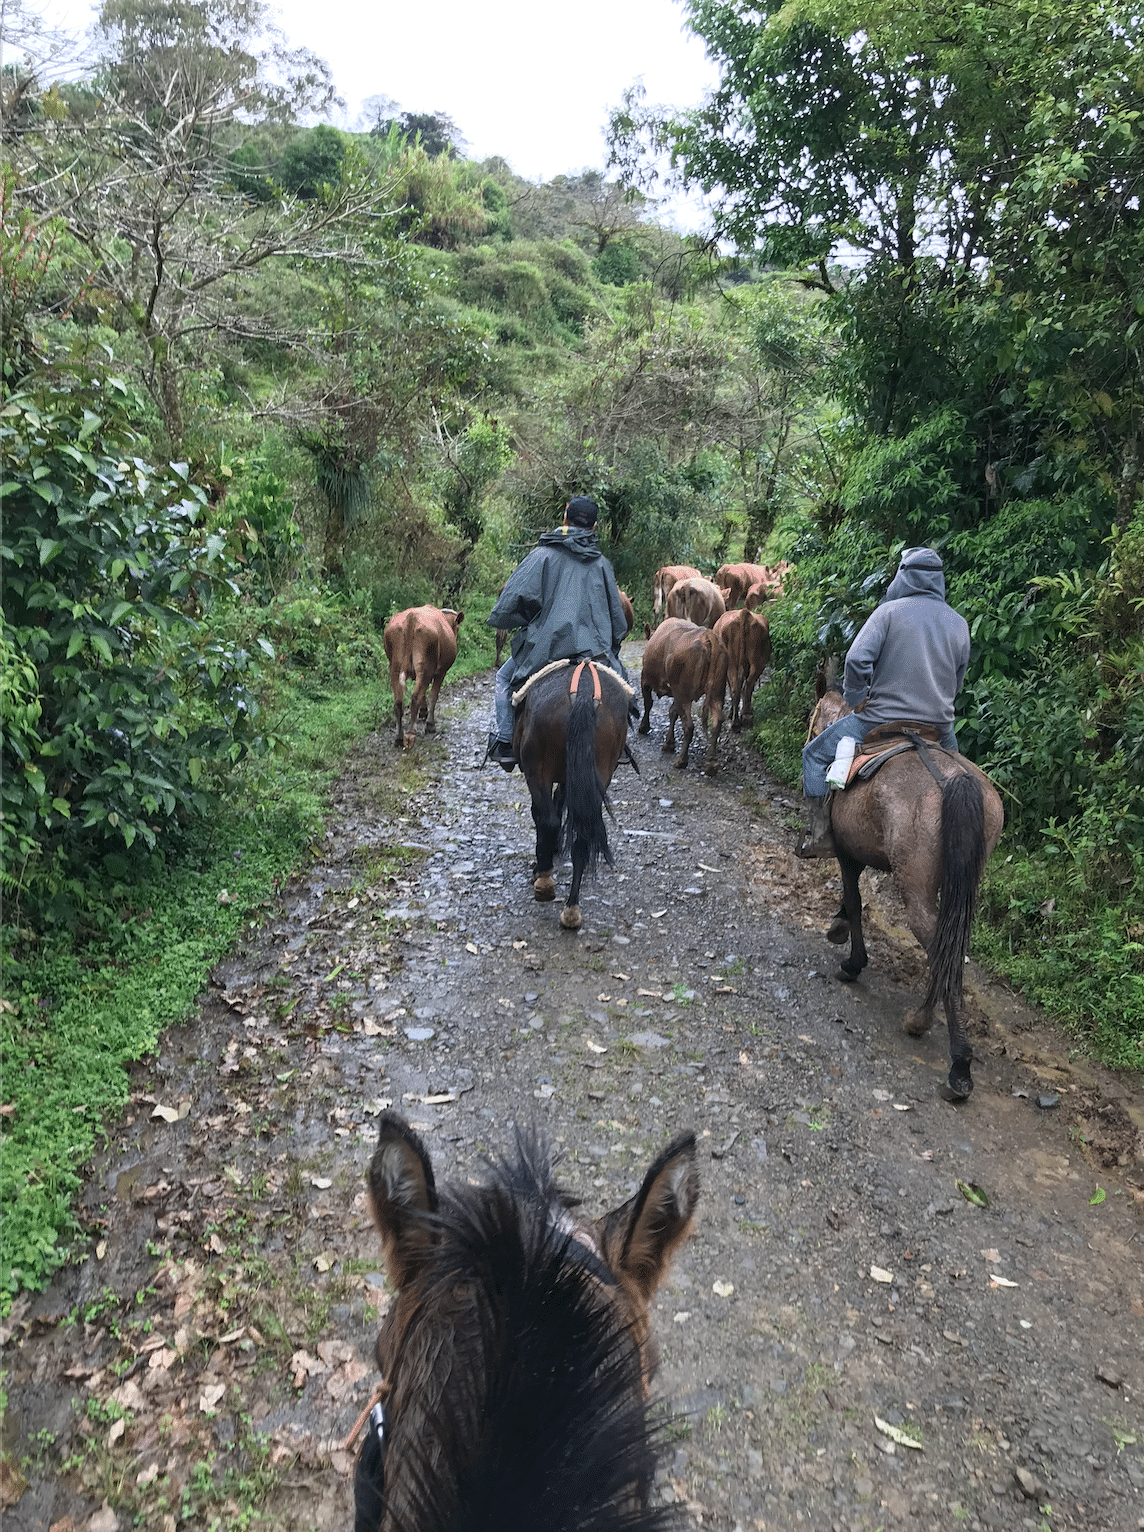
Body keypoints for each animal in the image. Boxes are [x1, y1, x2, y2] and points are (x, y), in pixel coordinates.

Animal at [379, 600, 459, 744]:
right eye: (457, 628)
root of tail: (411, 618)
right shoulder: (441, 672)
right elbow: (432, 696)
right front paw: (430, 724)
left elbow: (424, 694)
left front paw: (423, 712)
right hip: (426, 667)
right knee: (415, 697)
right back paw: (410, 733)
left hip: (395, 668)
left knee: (398, 702)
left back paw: (399, 737)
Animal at [514, 661, 630, 931]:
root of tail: (584, 691)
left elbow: (544, 814)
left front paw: (542, 863)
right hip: (600, 769)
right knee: (583, 835)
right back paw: (572, 908)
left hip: (538, 769)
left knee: (546, 820)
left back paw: (545, 882)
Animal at [640, 615, 728, 772]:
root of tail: (707, 635)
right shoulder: (676, 693)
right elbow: (672, 712)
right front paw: (669, 743)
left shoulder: (646, 679)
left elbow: (648, 703)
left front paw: (644, 727)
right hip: (717, 692)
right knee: (716, 722)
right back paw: (711, 763)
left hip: (683, 693)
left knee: (689, 725)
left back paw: (681, 760)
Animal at [802, 683, 1004, 1103]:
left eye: (813, 722)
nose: (809, 736)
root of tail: (954, 781)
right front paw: (838, 927)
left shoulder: (846, 852)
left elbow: (856, 902)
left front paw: (852, 961)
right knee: (951, 948)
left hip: (915, 885)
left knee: (940, 949)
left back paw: (952, 1056)